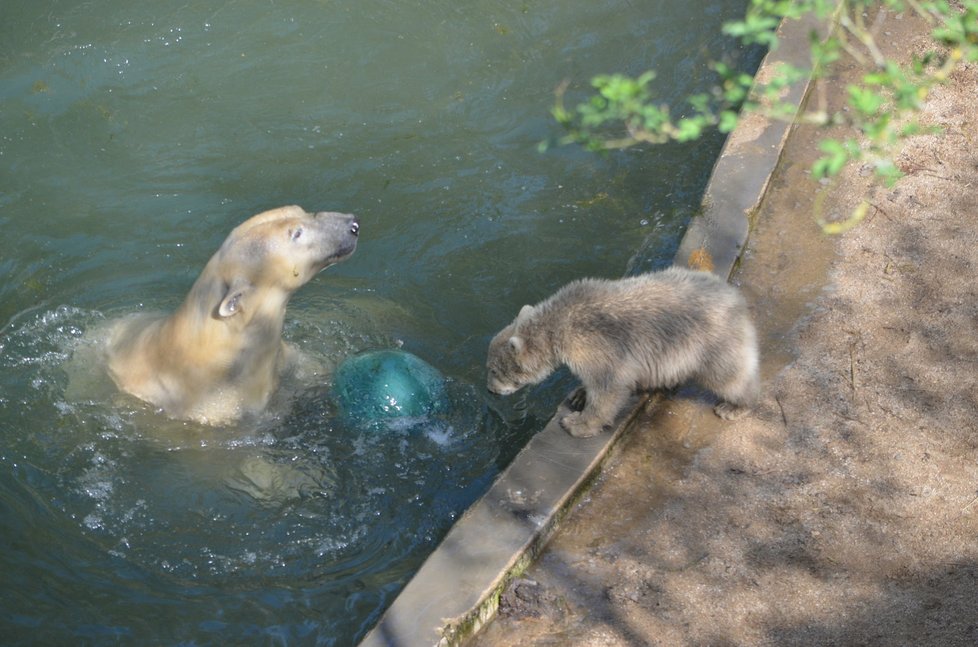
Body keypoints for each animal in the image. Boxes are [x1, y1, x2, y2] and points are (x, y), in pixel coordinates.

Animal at [484, 266, 760, 438]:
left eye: (494, 370)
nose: (490, 390)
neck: (561, 323)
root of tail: (735, 296)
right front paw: (578, 395)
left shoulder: (598, 344)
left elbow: (608, 387)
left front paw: (576, 423)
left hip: (711, 339)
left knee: (729, 375)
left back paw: (734, 407)